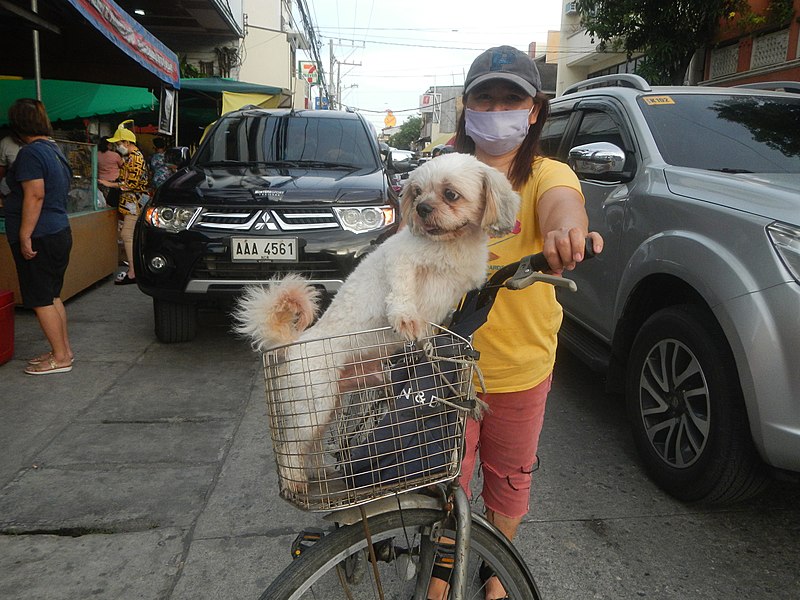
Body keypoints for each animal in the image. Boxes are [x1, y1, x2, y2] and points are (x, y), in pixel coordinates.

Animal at [233, 152, 520, 494]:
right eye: (417, 192)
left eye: (450, 194)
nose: (422, 209)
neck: (450, 244)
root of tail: (291, 344)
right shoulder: (401, 260)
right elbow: (402, 291)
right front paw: (406, 319)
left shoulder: (456, 292)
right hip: (312, 405)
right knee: (292, 447)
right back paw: (294, 482)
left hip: (327, 405)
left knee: (311, 446)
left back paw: (316, 474)